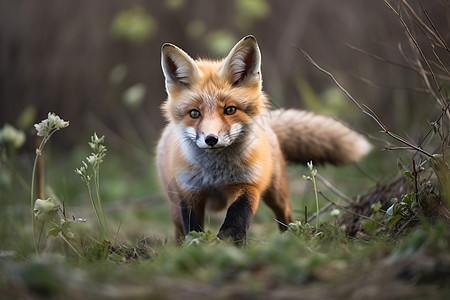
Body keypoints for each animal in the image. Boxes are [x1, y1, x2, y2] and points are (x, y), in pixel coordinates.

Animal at [156, 35, 370, 244]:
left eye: (230, 110)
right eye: (194, 113)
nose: (211, 139)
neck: (216, 173)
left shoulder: (248, 183)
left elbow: (238, 215)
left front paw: (230, 242)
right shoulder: (189, 192)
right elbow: (192, 227)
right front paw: (196, 245)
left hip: (276, 191)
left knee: (286, 215)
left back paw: (291, 238)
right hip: (173, 201)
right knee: (178, 228)